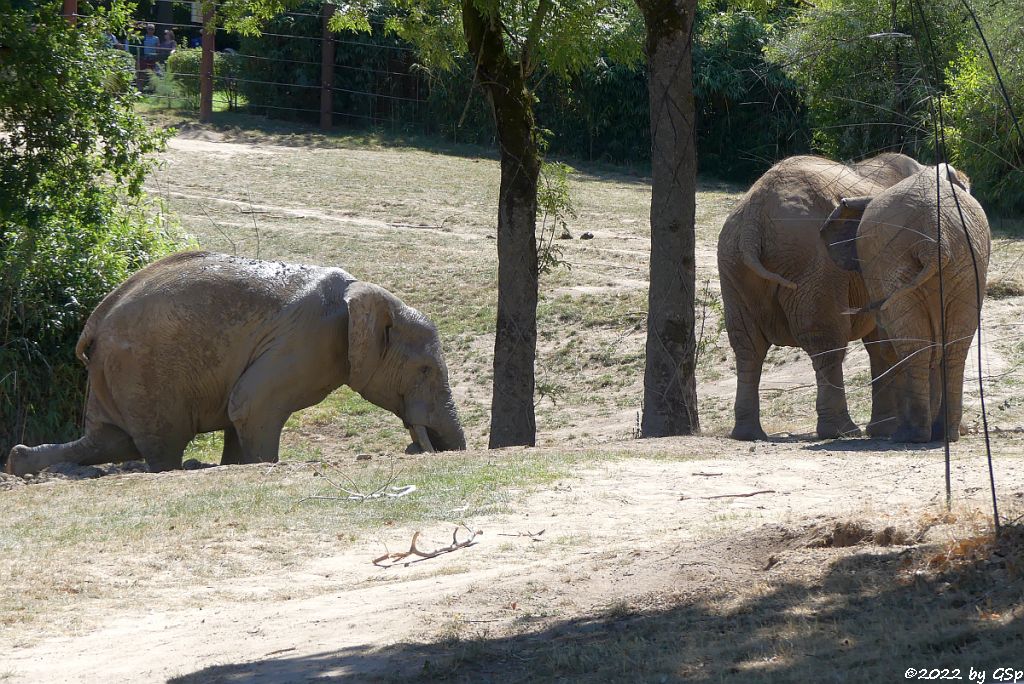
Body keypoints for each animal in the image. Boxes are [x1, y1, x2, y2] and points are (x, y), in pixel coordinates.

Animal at [4, 248, 466, 479]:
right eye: (425, 370)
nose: (416, 446)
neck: (363, 291)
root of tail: (93, 323)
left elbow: (238, 411)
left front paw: (235, 465)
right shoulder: (309, 341)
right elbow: (250, 405)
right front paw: (261, 466)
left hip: (114, 372)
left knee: (111, 440)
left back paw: (20, 463)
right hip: (141, 370)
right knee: (158, 445)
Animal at [819, 165, 987, 444]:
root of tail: (935, 238)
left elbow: (888, 345)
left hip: (898, 260)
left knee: (915, 345)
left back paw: (909, 435)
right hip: (964, 263)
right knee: (952, 346)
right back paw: (945, 434)